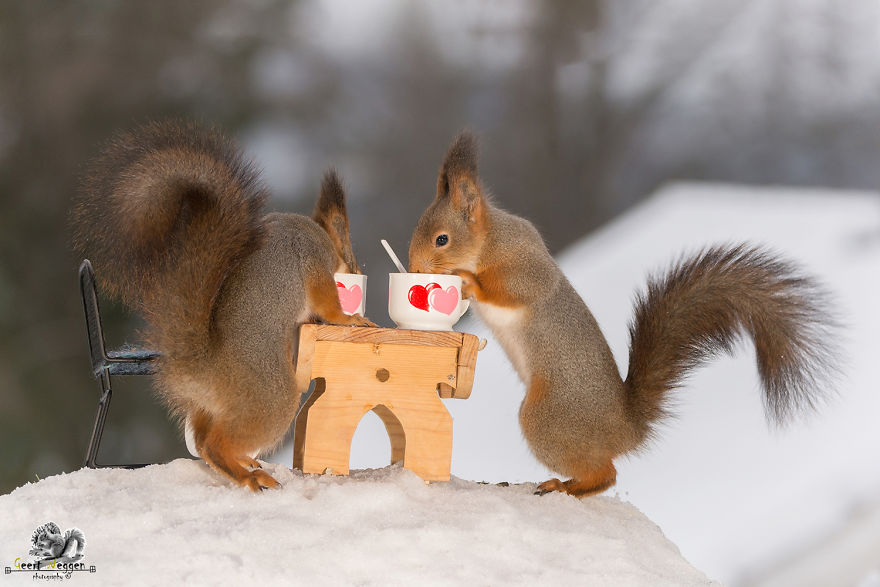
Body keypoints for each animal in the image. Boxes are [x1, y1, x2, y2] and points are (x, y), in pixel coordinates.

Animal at [71, 121, 374, 491]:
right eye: (351, 255)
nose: (356, 269)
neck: (313, 230)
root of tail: (203, 368)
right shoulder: (313, 263)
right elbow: (325, 303)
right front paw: (350, 318)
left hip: (210, 409)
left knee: (204, 445)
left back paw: (245, 467)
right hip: (271, 398)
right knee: (218, 443)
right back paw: (251, 477)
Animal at [408, 131, 838, 497]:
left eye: (442, 239)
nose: (413, 268)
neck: (489, 242)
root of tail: (625, 428)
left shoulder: (524, 267)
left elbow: (515, 290)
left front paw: (465, 281)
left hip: (548, 418)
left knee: (606, 474)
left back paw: (565, 486)